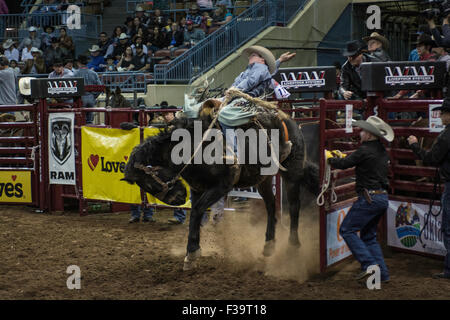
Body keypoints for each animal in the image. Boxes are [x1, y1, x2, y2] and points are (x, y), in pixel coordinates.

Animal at [121, 90, 318, 270]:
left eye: (149, 183)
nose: (176, 199)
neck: (190, 146)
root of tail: (287, 118)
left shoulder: (223, 185)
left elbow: (197, 210)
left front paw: (192, 252)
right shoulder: (197, 188)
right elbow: (195, 214)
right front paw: (191, 253)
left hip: (291, 172)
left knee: (294, 206)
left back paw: (293, 246)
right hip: (263, 179)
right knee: (270, 205)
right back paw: (269, 245)